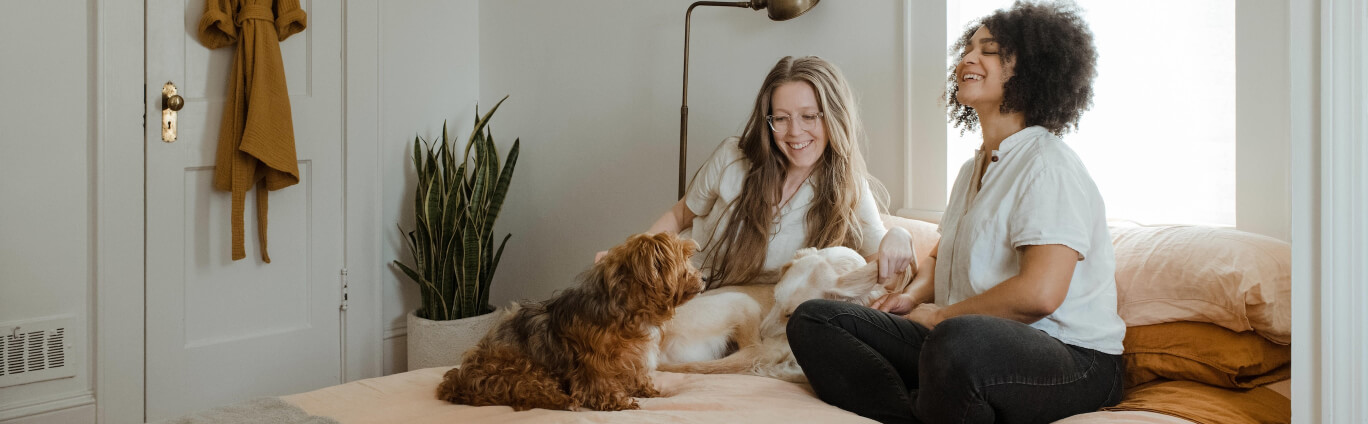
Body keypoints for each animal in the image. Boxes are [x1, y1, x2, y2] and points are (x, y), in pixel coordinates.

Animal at [435, 232, 700, 410]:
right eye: (683, 261)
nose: (704, 277)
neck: (629, 311)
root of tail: (459, 380)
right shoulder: (594, 361)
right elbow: (600, 381)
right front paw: (618, 401)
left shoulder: (631, 357)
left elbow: (637, 375)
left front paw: (648, 391)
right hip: (519, 368)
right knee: (528, 391)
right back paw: (563, 400)